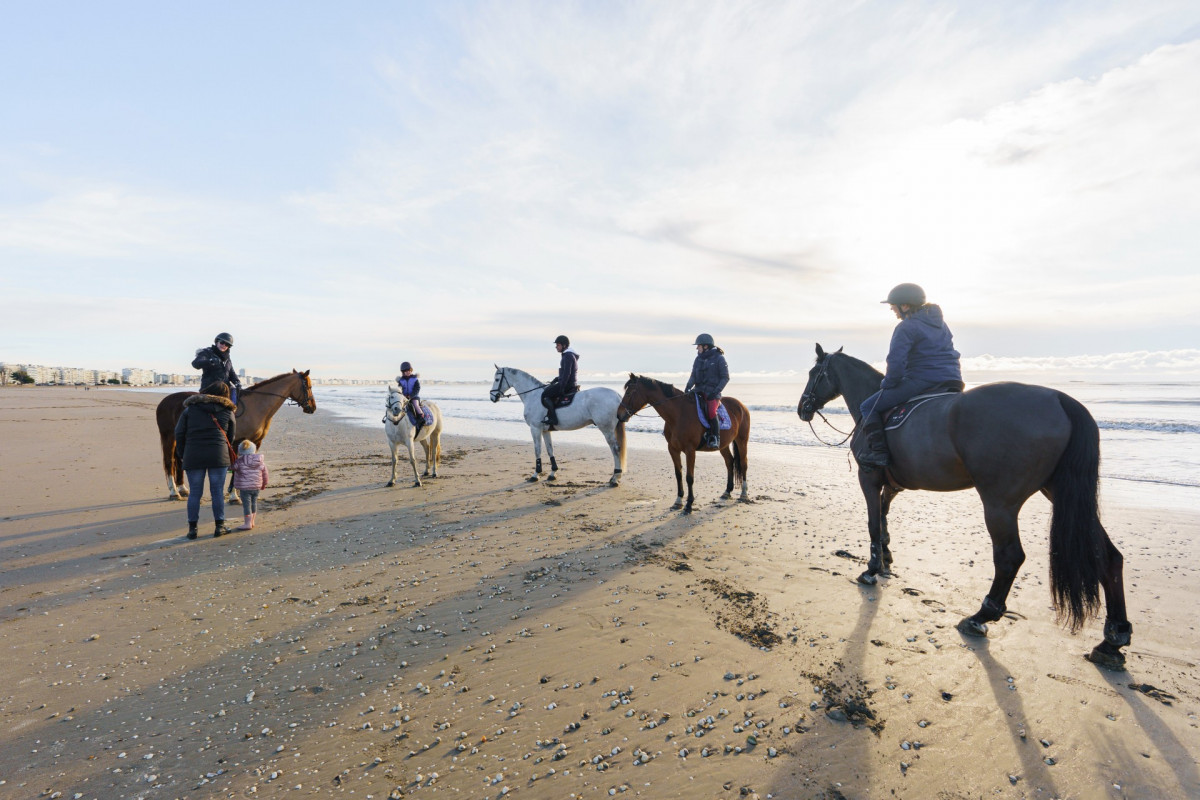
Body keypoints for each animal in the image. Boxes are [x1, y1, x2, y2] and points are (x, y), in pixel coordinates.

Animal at [157, 371, 316, 501]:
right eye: (308, 386)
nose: (313, 407)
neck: (256, 406)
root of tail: (164, 401)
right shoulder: (236, 442)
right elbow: (236, 466)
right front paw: (234, 495)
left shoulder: (256, 442)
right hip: (168, 436)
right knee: (169, 461)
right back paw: (174, 492)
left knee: (178, 460)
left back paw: (182, 488)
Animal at [487, 367, 628, 484]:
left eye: (497, 379)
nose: (492, 397)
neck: (533, 396)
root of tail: (616, 396)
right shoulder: (545, 430)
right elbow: (550, 449)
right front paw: (552, 473)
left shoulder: (535, 429)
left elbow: (537, 450)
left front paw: (535, 475)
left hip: (607, 429)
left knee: (615, 449)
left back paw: (615, 478)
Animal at [619, 374, 748, 513]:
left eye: (629, 392)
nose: (619, 414)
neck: (678, 414)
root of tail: (741, 405)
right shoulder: (673, 449)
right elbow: (678, 474)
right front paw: (678, 501)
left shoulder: (690, 450)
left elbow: (689, 477)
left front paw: (689, 504)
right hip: (723, 445)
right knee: (729, 461)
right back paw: (727, 491)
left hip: (742, 441)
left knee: (743, 464)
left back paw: (744, 494)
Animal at [801, 345, 1128, 671]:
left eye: (814, 373)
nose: (802, 407)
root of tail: (1060, 399)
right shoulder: (893, 485)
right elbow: (883, 517)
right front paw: (885, 556)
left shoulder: (868, 477)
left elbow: (872, 522)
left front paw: (871, 569)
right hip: (1059, 493)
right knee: (1108, 556)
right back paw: (1113, 639)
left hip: (999, 503)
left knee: (1009, 557)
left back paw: (981, 616)